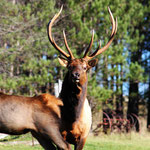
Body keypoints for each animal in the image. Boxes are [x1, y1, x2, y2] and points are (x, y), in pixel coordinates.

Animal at [47, 5, 118, 149]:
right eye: (69, 66)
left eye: (85, 67)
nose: (76, 75)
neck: (73, 120)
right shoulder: (59, 135)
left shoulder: (83, 136)